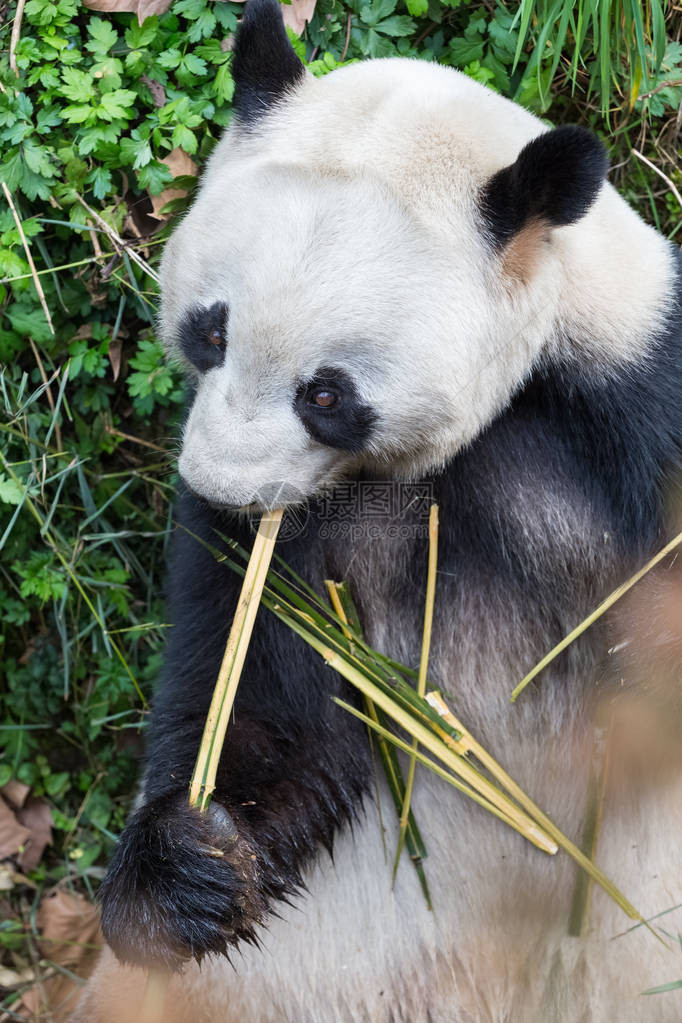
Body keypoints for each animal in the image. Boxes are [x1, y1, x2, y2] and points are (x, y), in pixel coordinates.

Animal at [72, 1, 678, 1023]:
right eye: (212, 329)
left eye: (326, 393)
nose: (225, 489)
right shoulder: (297, 547)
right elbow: (271, 707)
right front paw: (192, 869)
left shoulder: (627, 427)